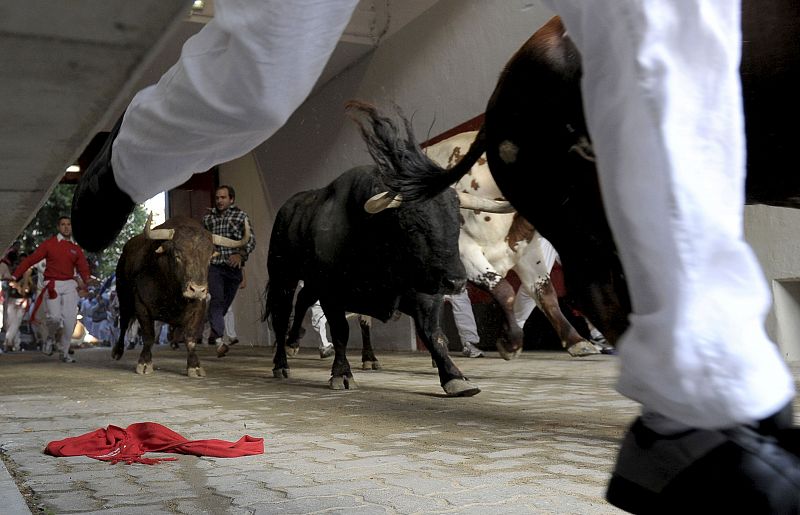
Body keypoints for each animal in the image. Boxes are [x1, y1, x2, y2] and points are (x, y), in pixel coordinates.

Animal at [112, 216, 248, 376]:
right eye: (178, 255)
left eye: (209, 258)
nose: (197, 290)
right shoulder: (141, 305)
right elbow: (148, 336)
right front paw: (144, 363)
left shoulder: (199, 307)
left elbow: (190, 338)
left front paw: (194, 366)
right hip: (123, 298)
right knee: (123, 323)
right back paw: (117, 351)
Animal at [266, 103, 482, 398]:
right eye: (411, 224)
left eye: (457, 219)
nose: (456, 281)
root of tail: (288, 208)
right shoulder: (333, 293)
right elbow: (341, 331)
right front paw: (342, 374)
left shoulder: (425, 294)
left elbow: (433, 335)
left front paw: (455, 376)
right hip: (283, 275)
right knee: (281, 315)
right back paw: (281, 362)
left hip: (310, 280)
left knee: (302, 301)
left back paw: (294, 342)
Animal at [372, 3, 796, 346]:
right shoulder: (469, 253)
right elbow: (505, 292)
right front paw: (511, 342)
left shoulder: (528, 248)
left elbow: (541, 291)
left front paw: (570, 342)